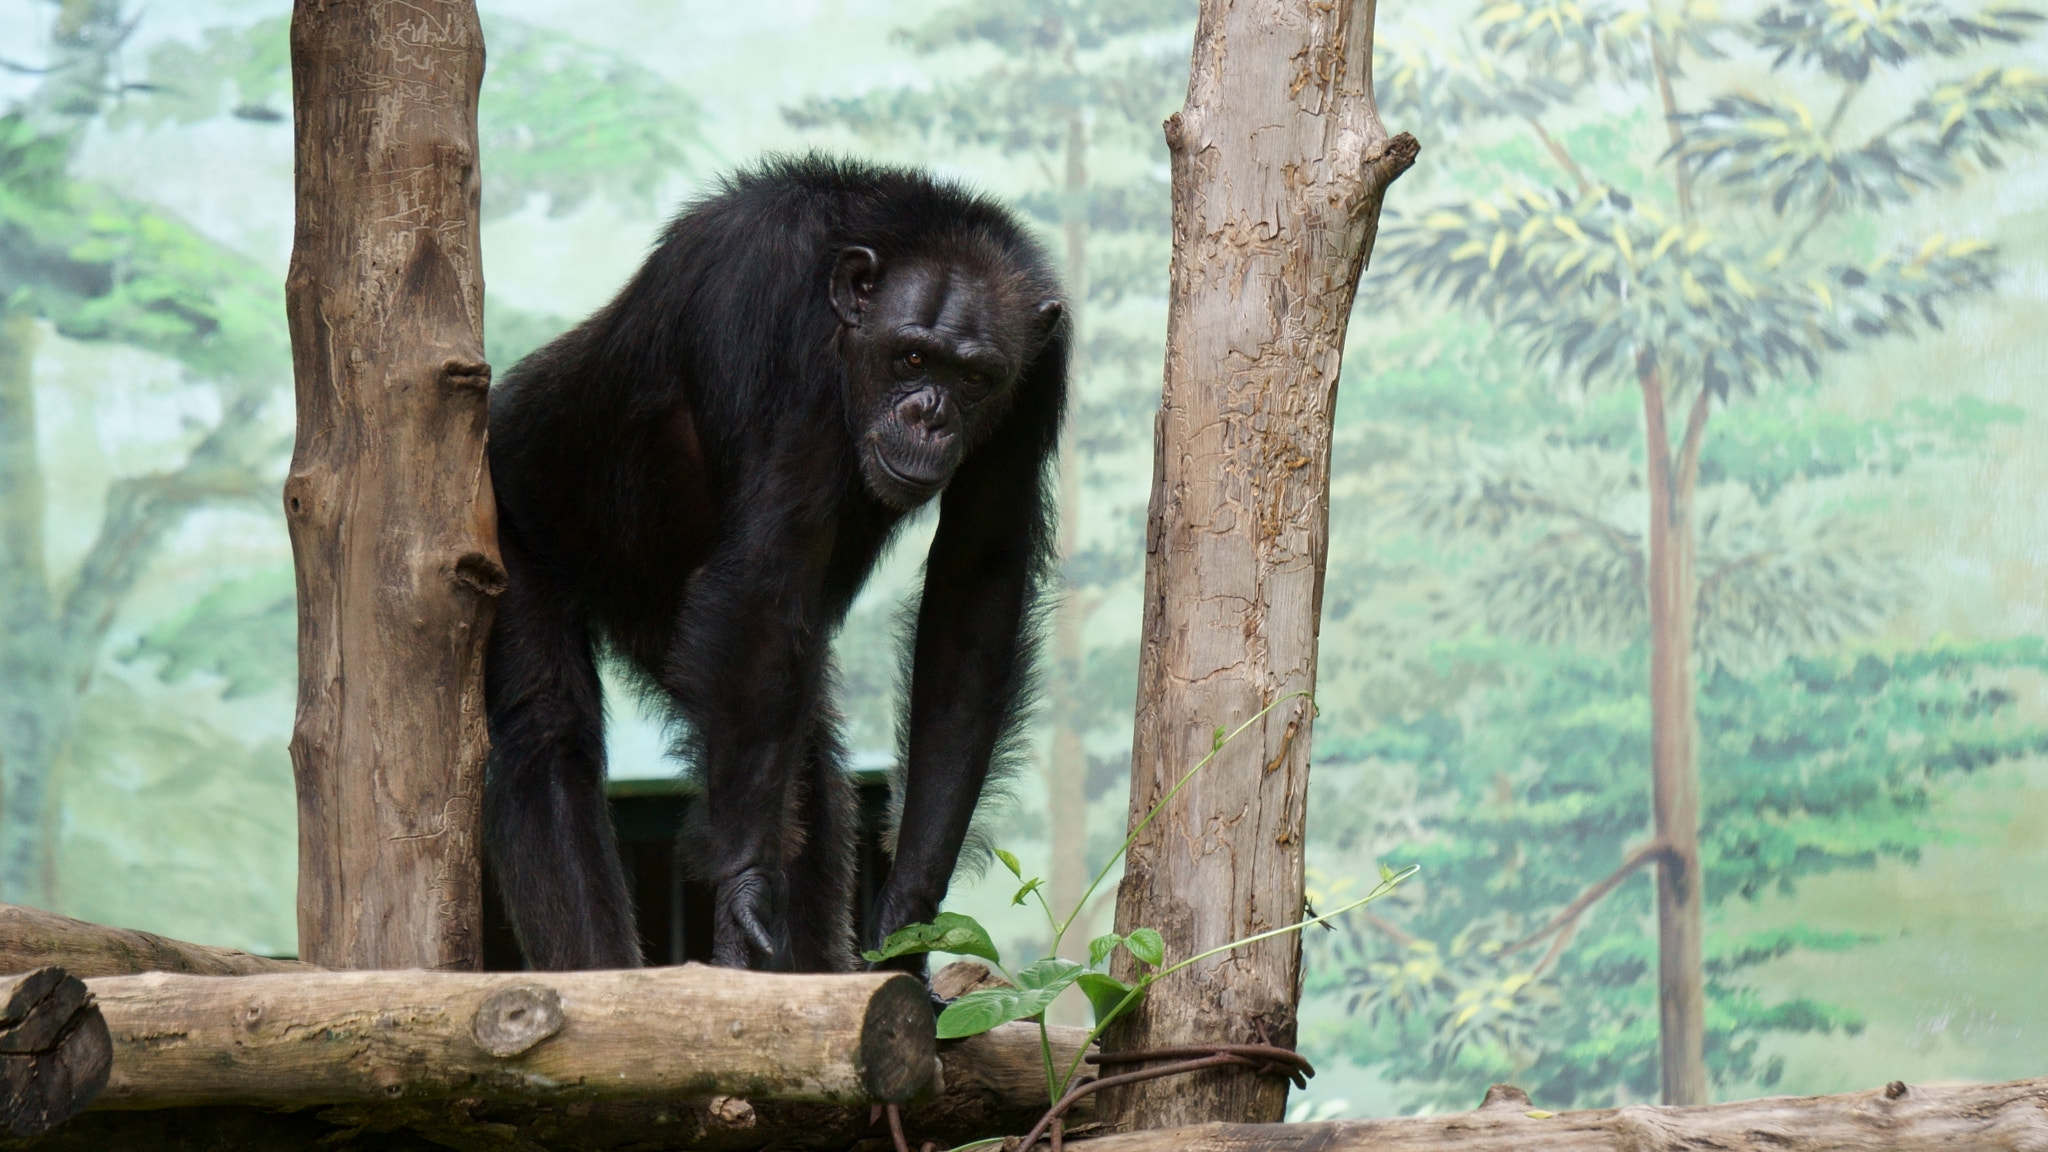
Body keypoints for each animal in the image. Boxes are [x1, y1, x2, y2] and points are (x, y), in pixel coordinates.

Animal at [475, 156, 1056, 971]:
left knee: (801, 758)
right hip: (507, 515)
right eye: (912, 356)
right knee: (546, 730)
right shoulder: (771, 309)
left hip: (668, 626)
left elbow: (976, 580)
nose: (931, 415)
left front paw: (908, 914)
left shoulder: (1038, 374)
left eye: (974, 378)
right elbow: (767, 576)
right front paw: (745, 891)